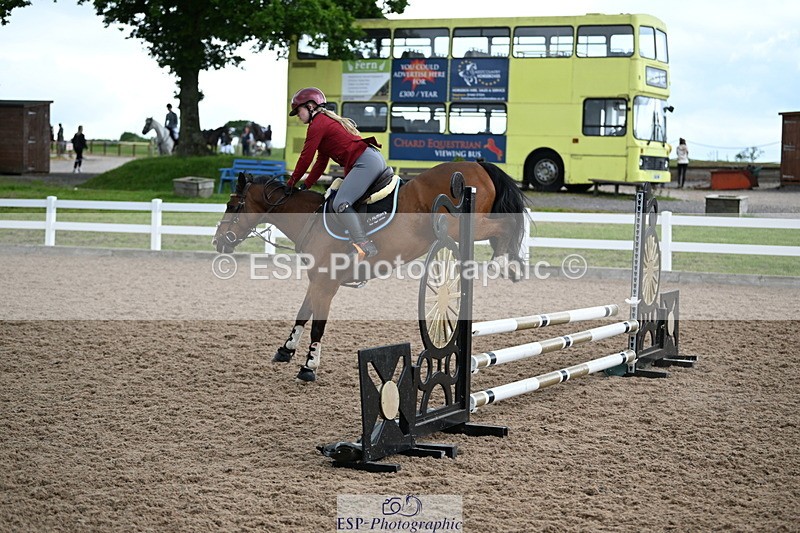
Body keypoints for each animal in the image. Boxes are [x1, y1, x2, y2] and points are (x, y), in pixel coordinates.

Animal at [212, 161, 531, 382]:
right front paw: (286, 349)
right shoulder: (318, 281)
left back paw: (503, 263)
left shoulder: (326, 284)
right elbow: (303, 313)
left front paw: (309, 366)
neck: (311, 220)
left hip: (469, 224)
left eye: (231, 204)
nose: (218, 242)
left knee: (506, 226)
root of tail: (478, 165)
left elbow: (318, 325)